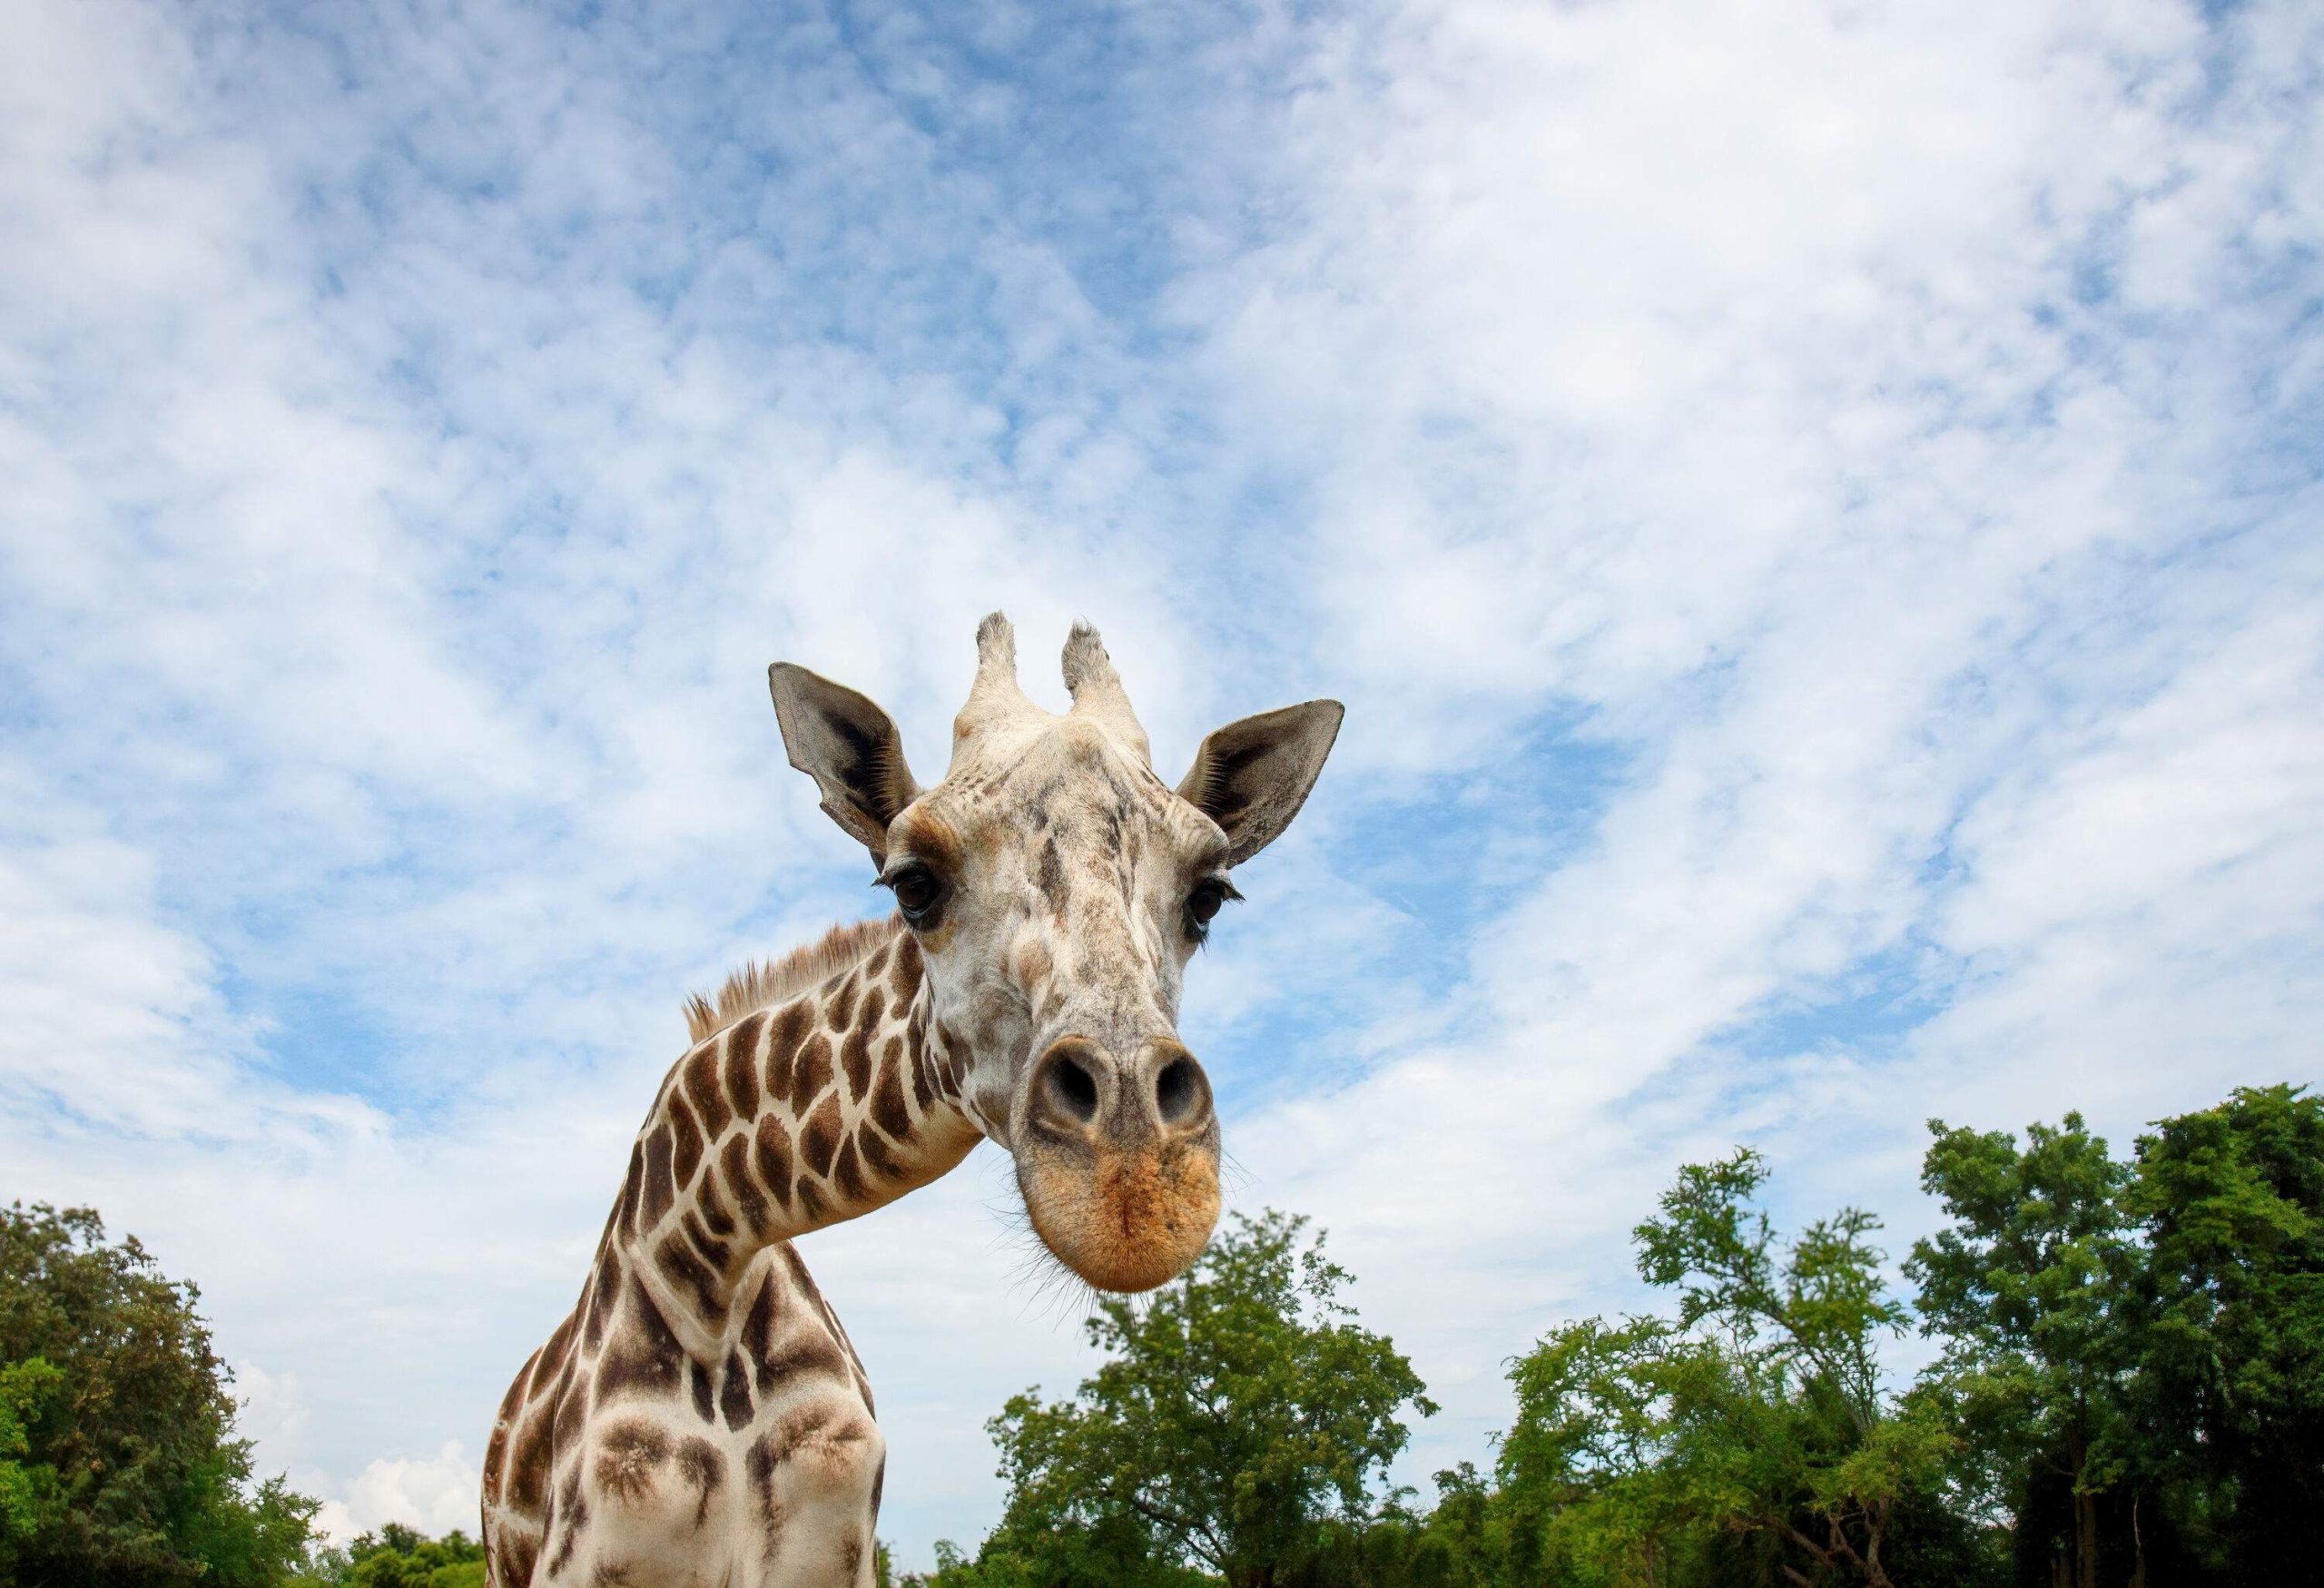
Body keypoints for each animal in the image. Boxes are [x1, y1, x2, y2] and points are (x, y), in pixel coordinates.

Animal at [476, 614, 1347, 1588]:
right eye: (913, 883)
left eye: (1209, 897)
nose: (1135, 1193)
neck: (713, 1275)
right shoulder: (590, 1554)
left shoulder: (836, 1552)